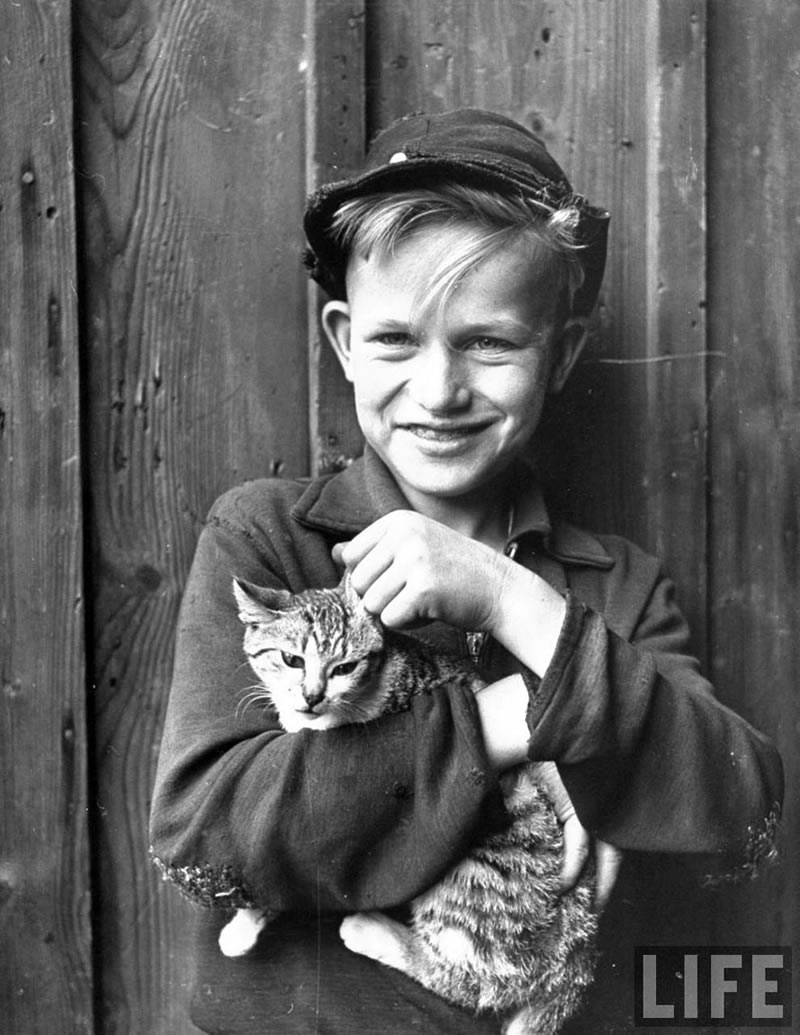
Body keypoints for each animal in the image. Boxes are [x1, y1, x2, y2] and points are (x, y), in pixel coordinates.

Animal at [221, 575, 596, 1035]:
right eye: (291, 659)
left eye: (344, 668)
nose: (312, 696)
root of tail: (576, 957)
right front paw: (245, 919)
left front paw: (243, 922)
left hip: (475, 870)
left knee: (471, 981)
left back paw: (374, 932)